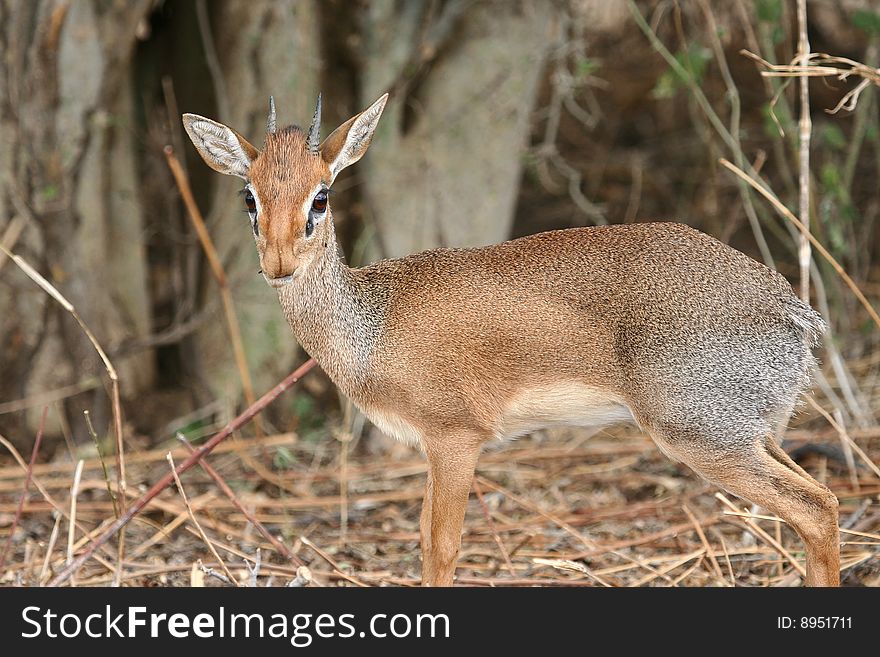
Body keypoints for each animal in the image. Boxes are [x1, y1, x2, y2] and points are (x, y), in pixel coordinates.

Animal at [184, 91, 840, 584]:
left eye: (320, 197)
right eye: (250, 196)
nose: (277, 264)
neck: (371, 325)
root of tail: (795, 312)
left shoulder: (456, 439)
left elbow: (442, 547)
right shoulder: (431, 448)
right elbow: (424, 540)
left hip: (701, 435)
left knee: (816, 507)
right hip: (755, 431)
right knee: (822, 501)